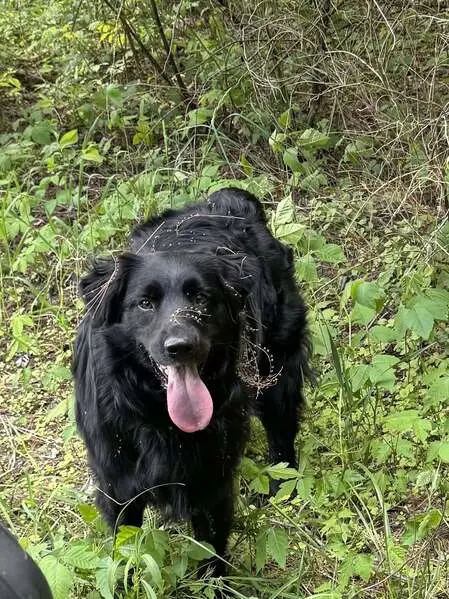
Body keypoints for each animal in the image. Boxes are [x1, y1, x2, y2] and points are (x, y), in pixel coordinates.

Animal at [73, 188, 311, 576]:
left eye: (201, 297)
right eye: (145, 303)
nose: (181, 346)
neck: (158, 415)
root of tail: (229, 199)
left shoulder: (212, 480)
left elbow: (212, 554)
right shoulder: (117, 486)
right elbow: (128, 554)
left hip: (277, 373)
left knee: (282, 437)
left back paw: (280, 489)